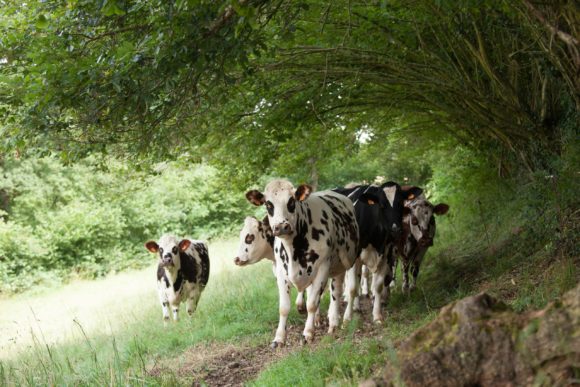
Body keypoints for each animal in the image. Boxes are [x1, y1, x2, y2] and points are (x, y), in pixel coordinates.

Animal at [247, 180, 360, 348]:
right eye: (268, 204)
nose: (281, 226)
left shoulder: (322, 267)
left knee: (342, 291)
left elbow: (312, 304)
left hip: (347, 262)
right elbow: (284, 307)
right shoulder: (281, 271)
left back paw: (337, 320)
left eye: (291, 201)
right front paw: (279, 337)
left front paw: (308, 333)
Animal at [334, 183, 424, 322]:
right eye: (381, 205)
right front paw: (347, 318)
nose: (395, 229)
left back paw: (356, 306)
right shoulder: (354, 258)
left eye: (400, 203)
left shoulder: (385, 255)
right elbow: (353, 288)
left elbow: (378, 286)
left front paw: (377, 315)